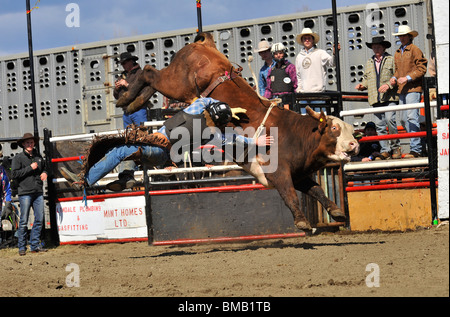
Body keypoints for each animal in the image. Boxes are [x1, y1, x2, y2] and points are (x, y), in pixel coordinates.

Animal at [117, 32, 358, 232]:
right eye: (334, 128)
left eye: (351, 129)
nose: (354, 144)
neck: (295, 134)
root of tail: (202, 44)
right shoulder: (279, 172)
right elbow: (290, 195)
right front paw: (302, 222)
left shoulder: (299, 175)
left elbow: (317, 190)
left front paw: (336, 211)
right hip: (175, 83)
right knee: (149, 73)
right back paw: (126, 98)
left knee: (150, 79)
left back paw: (132, 103)